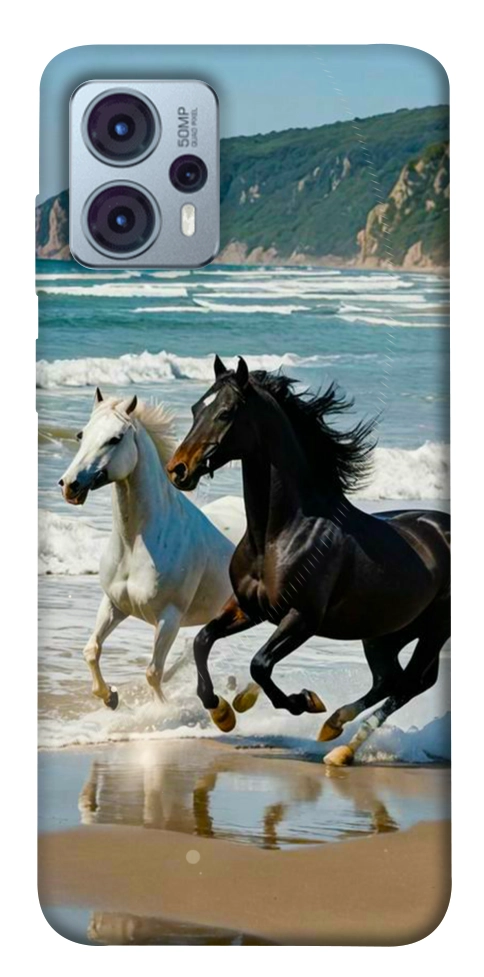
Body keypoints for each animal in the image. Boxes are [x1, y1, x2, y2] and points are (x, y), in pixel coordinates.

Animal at [59, 388, 234, 709]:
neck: (135, 544)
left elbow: (153, 672)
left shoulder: (169, 618)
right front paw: (110, 697)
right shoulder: (114, 604)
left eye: (115, 438)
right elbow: (91, 650)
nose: (69, 485)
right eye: (81, 434)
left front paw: (161, 711)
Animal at [166, 356, 450, 765]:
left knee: (409, 683)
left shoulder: (302, 618)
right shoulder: (248, 608)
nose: (178, 469)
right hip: (384, 633)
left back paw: (341, 746)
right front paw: (222, 712)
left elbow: (260, 664)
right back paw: (333, 729)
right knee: (390, 679)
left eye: (226, 413)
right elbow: (203, 641)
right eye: (195, 409)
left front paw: (303, 702)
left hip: (432, 630)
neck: (279, 534)